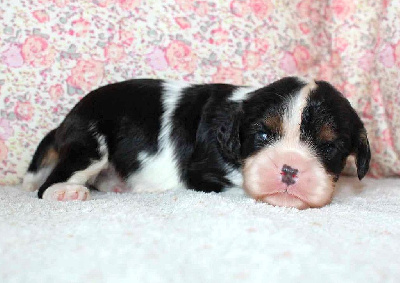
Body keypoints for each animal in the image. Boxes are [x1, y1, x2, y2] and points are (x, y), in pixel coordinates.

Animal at [22, 76, 372, 210]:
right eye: (262, 135)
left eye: (329, 147)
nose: (289, 169)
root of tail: (65, 122)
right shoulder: (202, 175)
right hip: (91, 144)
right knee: (49, 183)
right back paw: (65, 191)